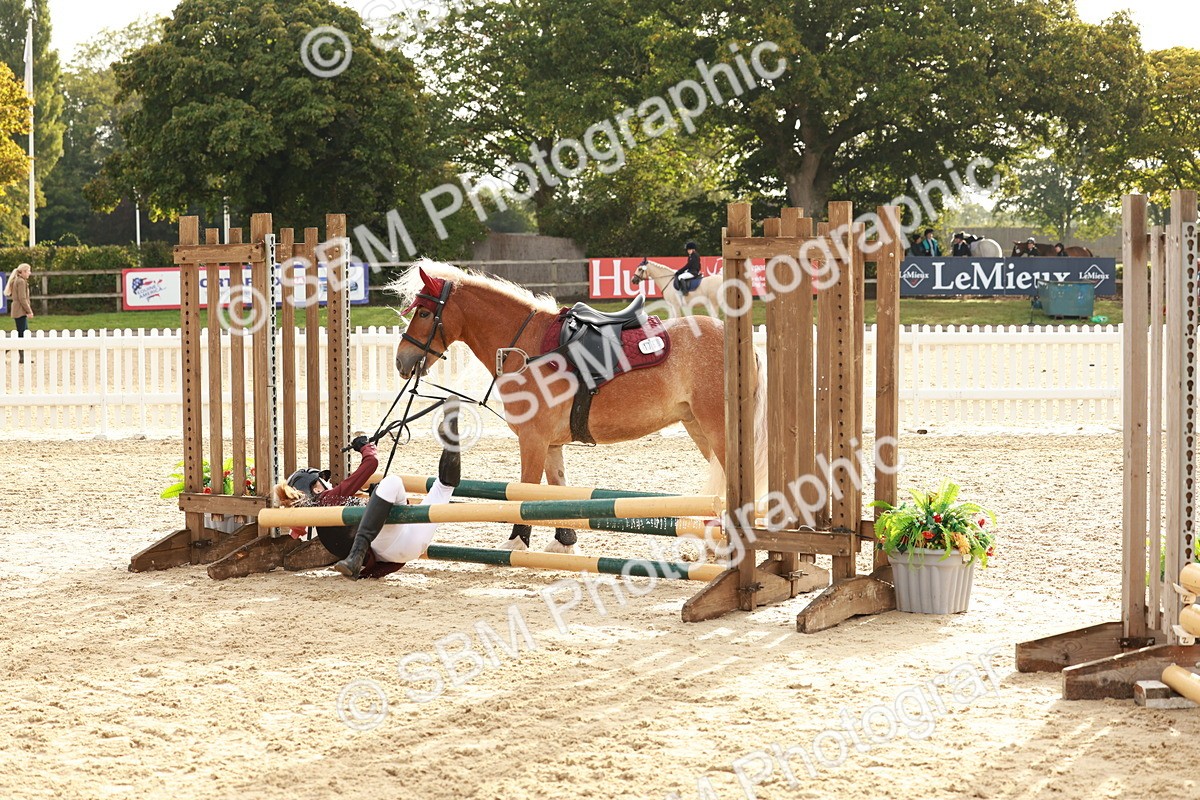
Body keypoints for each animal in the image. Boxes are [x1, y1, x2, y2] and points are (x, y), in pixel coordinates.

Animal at [390, 261, 767, 553]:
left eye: (424, 312)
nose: (402, 362)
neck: (526, 347)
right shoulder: (551, 444)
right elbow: (554, 493)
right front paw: (565, 541)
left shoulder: (533, 440)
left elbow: (525, 494)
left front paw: (516, 543)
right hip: (698, 428)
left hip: (718, 430)